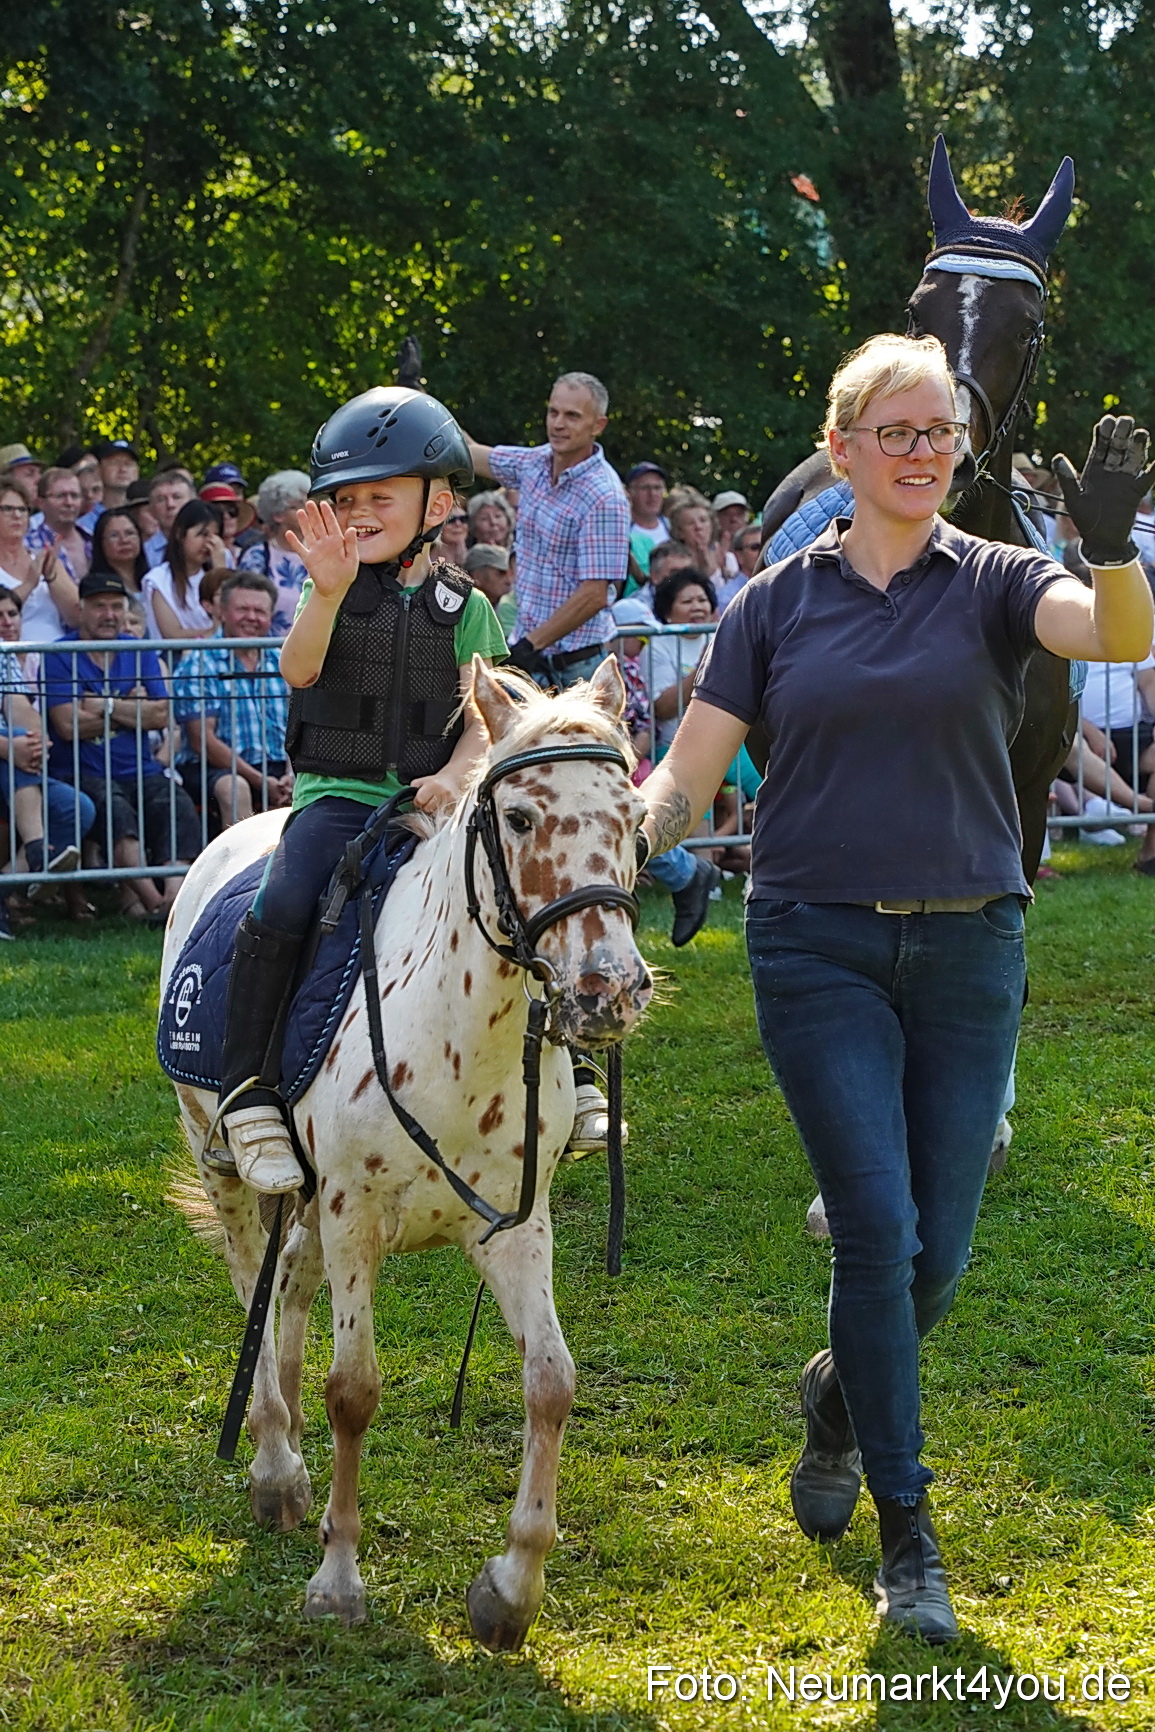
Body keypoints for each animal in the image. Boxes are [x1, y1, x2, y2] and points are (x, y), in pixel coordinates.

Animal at [164, 656, 652, 1648]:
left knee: (288, 1288)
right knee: (250, 1282)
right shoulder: (355, 1212)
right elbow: (355, 1391)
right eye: (519, 817)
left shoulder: (513, 1224)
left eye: (635, 821)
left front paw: (511, 1588)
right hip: (220, 1160)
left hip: (308, 1204)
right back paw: (275, 1466)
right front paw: (337, 1578)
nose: (607, 991)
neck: (457, 1034)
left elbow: (551, 1383)